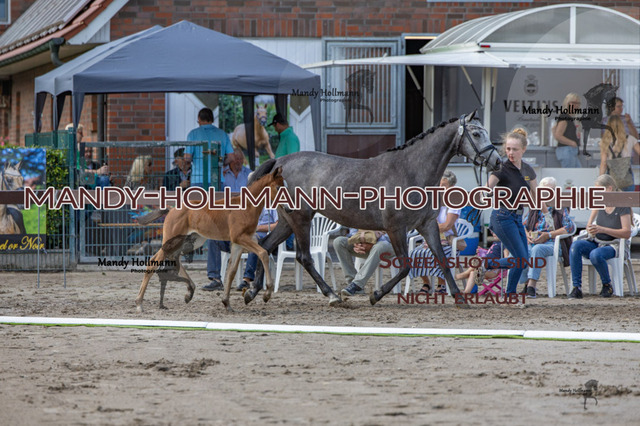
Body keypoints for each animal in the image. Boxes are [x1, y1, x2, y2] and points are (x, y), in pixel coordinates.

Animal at [134, 165, 285, 312]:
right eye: (278, 187)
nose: (287, 207)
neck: (246, 205)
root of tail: (171, 209)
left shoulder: (238, 243)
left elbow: (231, 271)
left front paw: (227, 303)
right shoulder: (240, 238)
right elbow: (263, 253)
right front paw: (266, 294)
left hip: (192, 240)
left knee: (175, 259)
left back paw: (190, 291)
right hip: (172, 240)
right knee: (154, 261)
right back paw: (139, 303)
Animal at [243, 110, 502, 306]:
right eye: (476, 133)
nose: (498, 161)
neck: (411, 170)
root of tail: (281, 161)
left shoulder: (427, 225)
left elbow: (442, 259)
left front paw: (460, 299)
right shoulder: (396, 228)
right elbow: (405, 267)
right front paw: (375, 295)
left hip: (287, 221)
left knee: (265, 246)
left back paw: (254, 292)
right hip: (301, 219)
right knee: (304, 257)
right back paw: (332, 296)